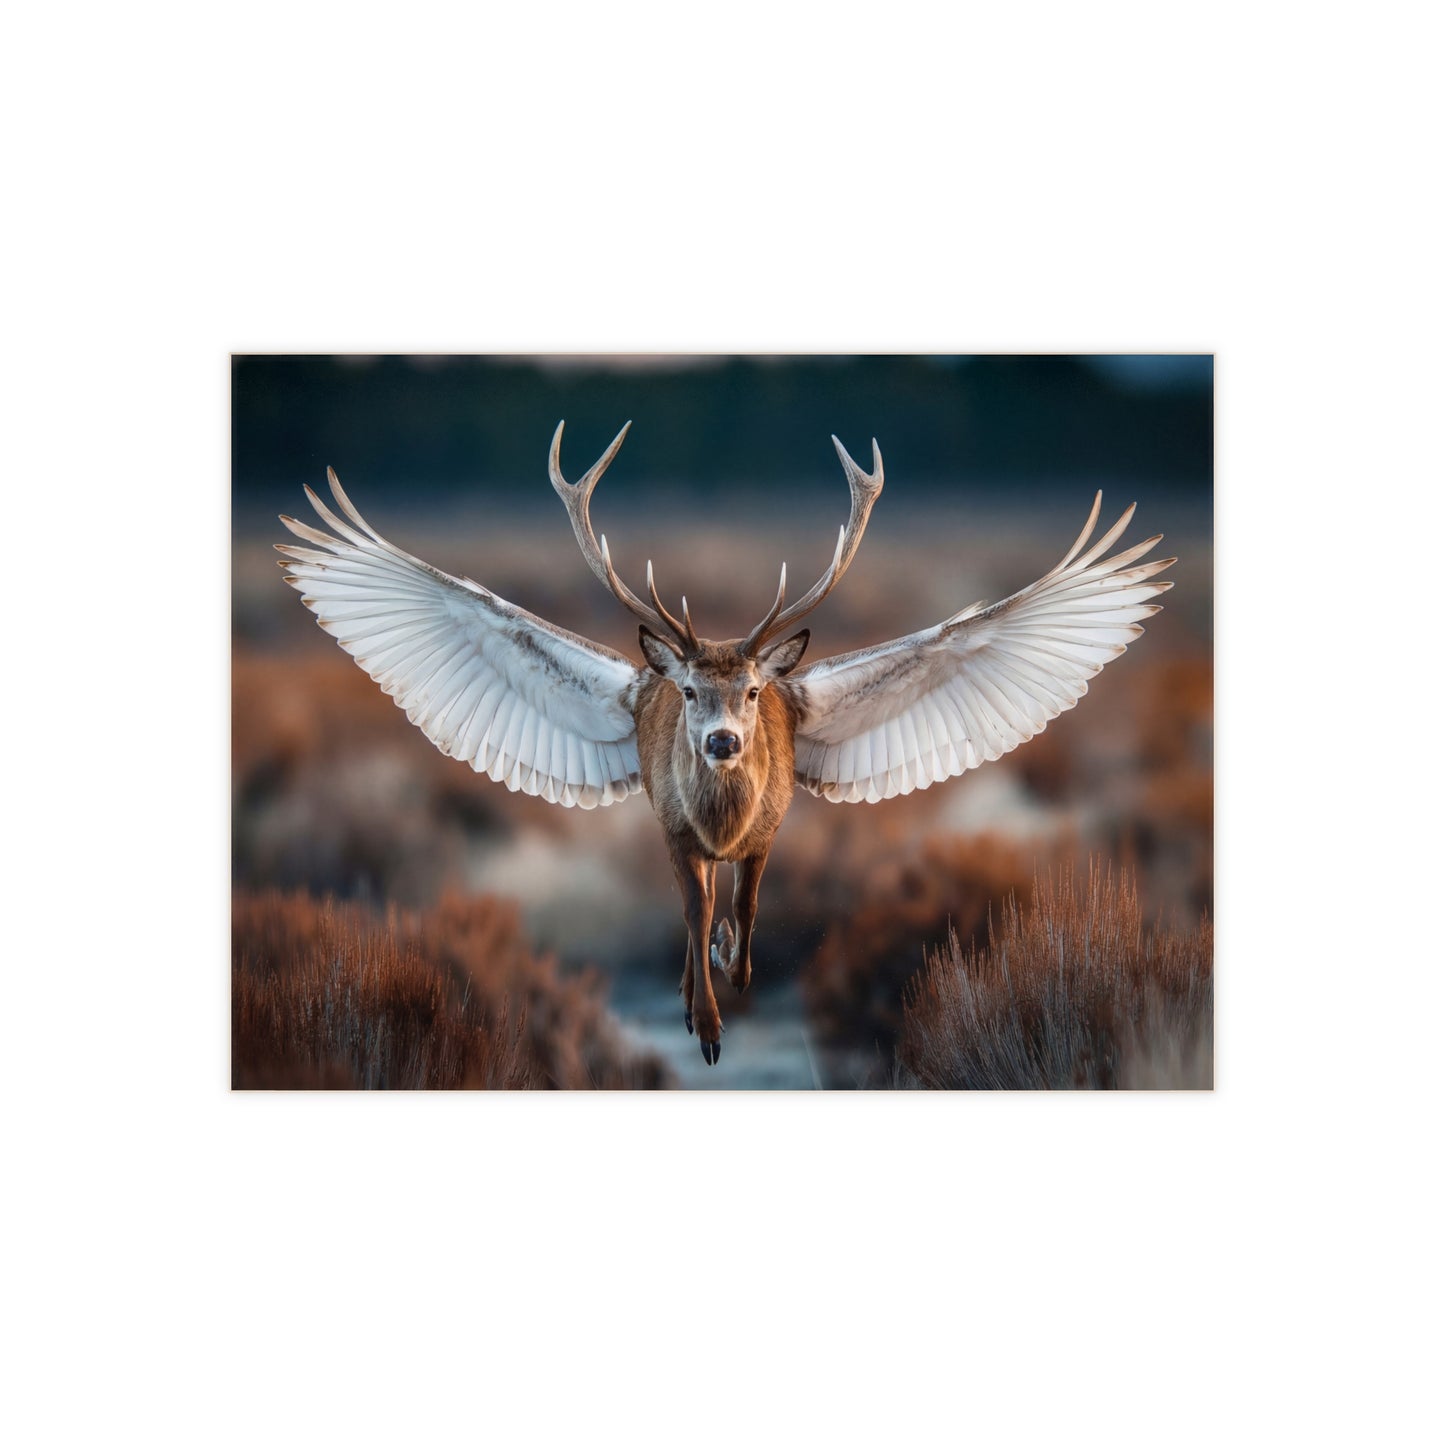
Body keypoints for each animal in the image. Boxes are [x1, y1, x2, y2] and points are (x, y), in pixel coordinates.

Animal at [278, 422, 1175, 1065]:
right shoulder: (674, 828)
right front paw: (704, 1020)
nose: (716, 741)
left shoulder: (770, 825)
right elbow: (693, 905)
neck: (722, 819)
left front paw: (737, 968)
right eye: (686, 692)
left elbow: (745, 903)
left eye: (749, 692)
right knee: (691, 904)